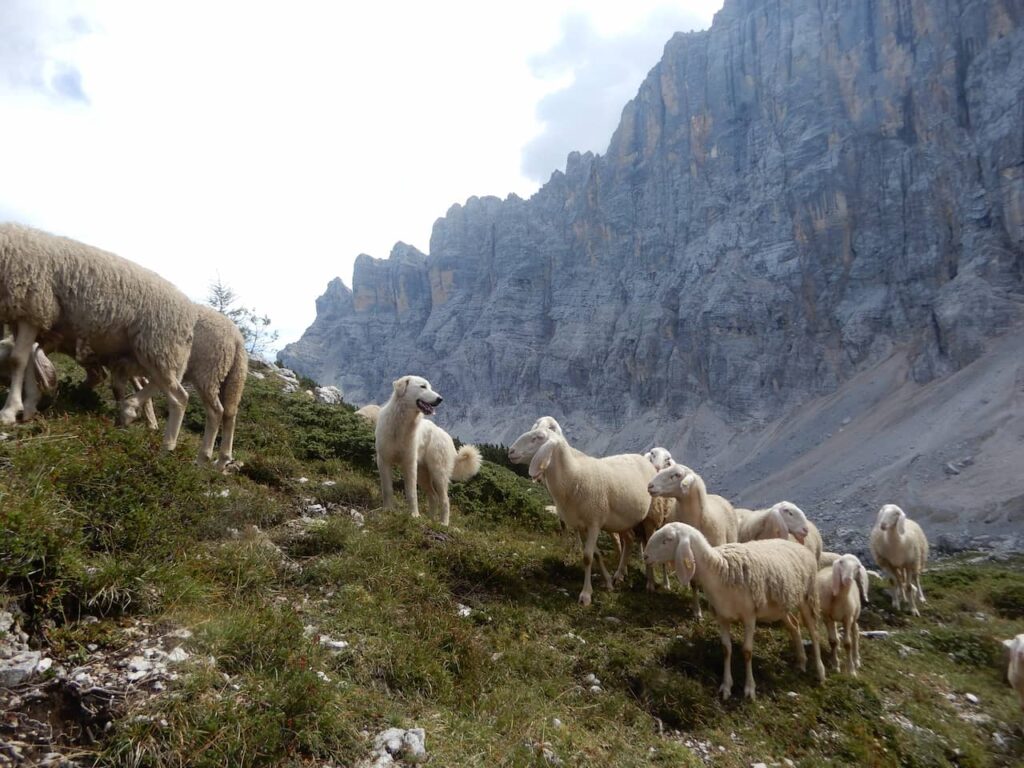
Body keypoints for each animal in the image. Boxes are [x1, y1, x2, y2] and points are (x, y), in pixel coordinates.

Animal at [0, 222, 195, 450]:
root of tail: (189, 311)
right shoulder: (30, 317)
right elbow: (30, 361)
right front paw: (29, 406)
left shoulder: (33, 307)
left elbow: (18, 360)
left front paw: (10, 411)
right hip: (143, 353)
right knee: (153, 385)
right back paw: (130, 415)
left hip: (159, 346)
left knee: (179, 396)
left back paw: (167, 445)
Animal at [374, 376, 481, 528]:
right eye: (423, 386)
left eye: (430, 387)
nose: (440, 399)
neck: (401, 424)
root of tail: (446, 436)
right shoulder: (383, 460)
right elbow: (387, 489)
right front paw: (388, 510)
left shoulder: (409, 464)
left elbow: (411, 493)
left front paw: (414, 515)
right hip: (423, 475)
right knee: (433, 497)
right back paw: (430, 520)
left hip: (438, 474)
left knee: (445, 500)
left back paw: (443, 523)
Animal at [505, 428, 655, 606]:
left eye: (539, 437)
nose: (511, 451)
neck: (573, 475)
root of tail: (644, 458)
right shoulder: (582, 525)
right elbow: (595, 555)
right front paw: (608, 582)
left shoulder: (594, 523)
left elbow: (587, 557)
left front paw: (586, 594)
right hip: (623, 519)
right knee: (630, 539)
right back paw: (620, 574)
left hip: (651, 516)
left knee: (648, 543)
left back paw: (650, 583)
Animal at [643, 528, 827, 700]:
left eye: (667, 539)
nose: (645, 556)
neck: (718, 569)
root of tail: (800, 546)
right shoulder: (722, 616)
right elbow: (726, 649)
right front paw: (726, 686)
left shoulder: (749, 616)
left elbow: (747, 651)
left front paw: (749, 688)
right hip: (781, 606)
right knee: (795, 626)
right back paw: (801, 662)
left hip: (808, 596)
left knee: (814, 633)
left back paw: (820, 672)